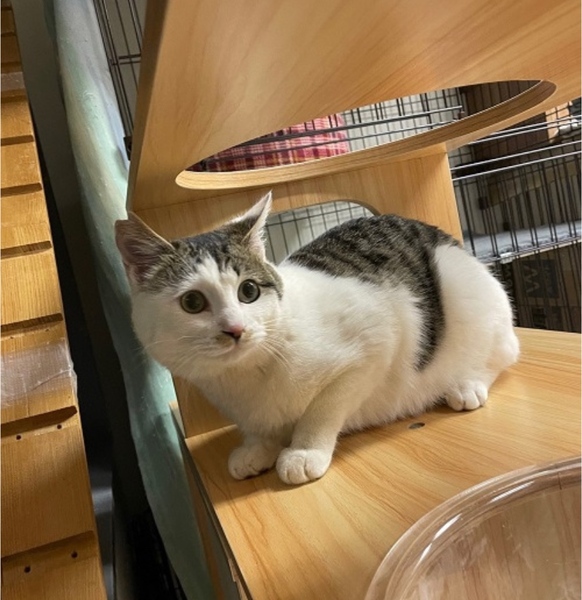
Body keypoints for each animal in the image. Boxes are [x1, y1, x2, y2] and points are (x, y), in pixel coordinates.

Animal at [115, 191, 519, 485]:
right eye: (192, 302)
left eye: (249, 291)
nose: (235, 329)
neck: (246, 376)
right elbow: (257, 429)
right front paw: (256, 448)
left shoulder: (376, 343)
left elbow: (324, 408)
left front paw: (304, 451)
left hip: (468, 297)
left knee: (503, 353)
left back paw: (466, 385)